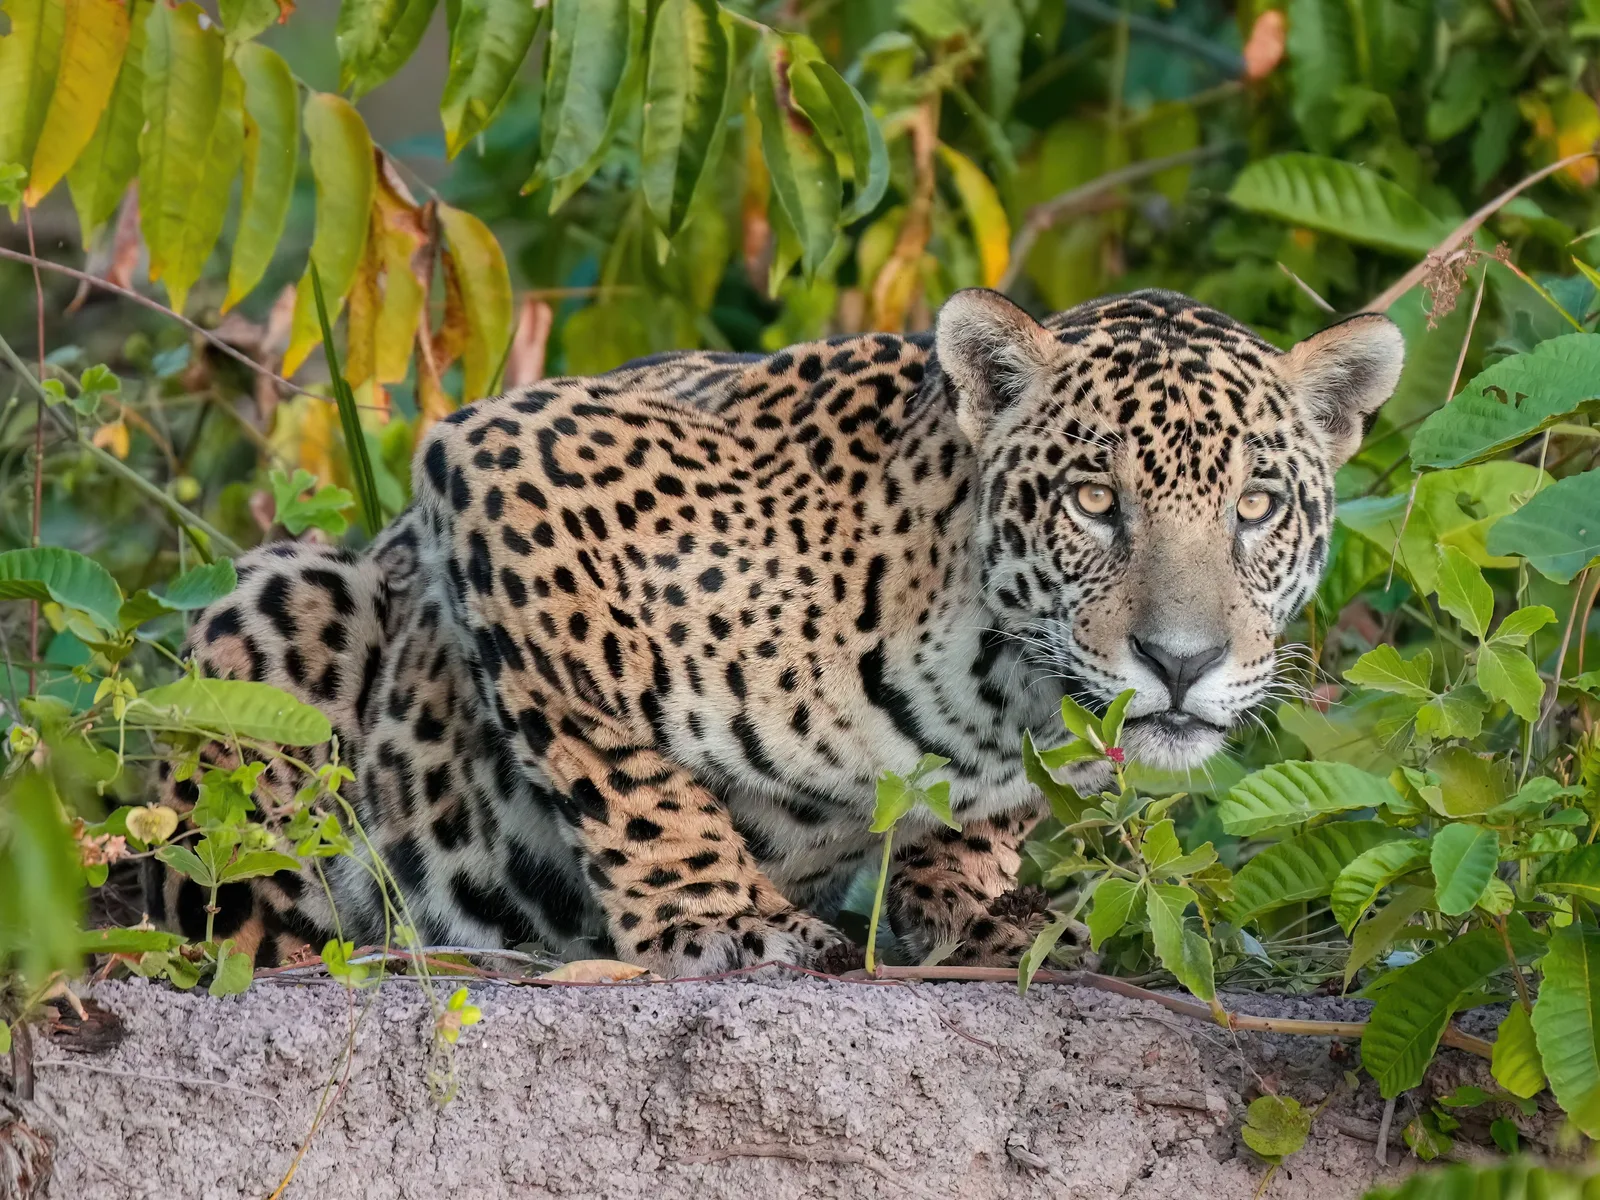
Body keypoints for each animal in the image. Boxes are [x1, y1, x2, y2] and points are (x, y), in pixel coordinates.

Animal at [150, 287, 1404, 978]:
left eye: (1256, 507)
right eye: (1095, 500)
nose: (1181, 663)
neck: (994, 680)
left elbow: (982, 827)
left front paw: (978, 900)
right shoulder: (509, 459)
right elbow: (622, 769)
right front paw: (720, 918)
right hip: (285, 600)